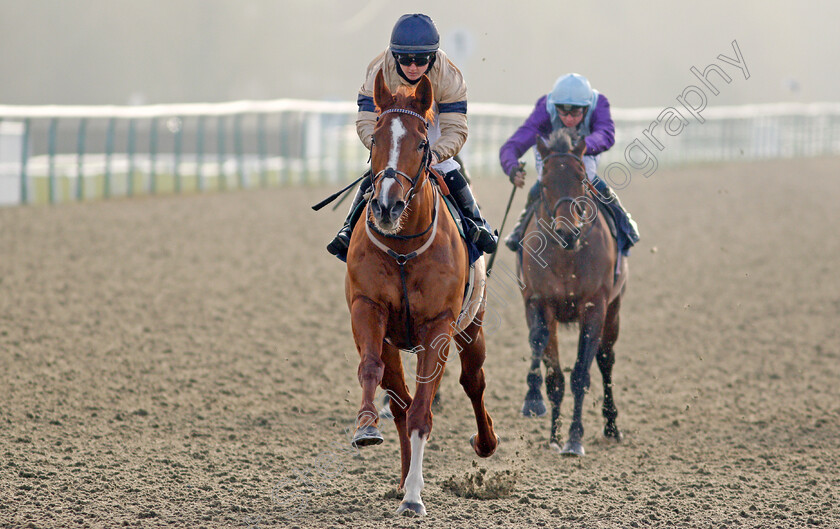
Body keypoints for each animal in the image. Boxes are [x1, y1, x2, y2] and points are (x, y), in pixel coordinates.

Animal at [342, 70, 496, 516]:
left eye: (422, 142)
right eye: (375, 139)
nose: (386, 207)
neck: (403, 248)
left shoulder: (438, 326)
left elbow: (425, 409)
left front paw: (414, 497)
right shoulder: (368, 308)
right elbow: (371, 371)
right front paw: (365, 427)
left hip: (472, 327)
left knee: (473, 381)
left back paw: (485, 442)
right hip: (393, 341)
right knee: (399, 401)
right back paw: (399, 477)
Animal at [516, 128, 628, 454]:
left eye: (581, 178)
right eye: (545, 182)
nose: (568, 232)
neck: (566, 256)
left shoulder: (595, 306)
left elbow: (580, 373)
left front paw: (575, 438)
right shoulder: (538, 303)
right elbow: (551, 370)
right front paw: (547, 423)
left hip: (615, 309)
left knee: (605, 359)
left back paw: (611, 425)